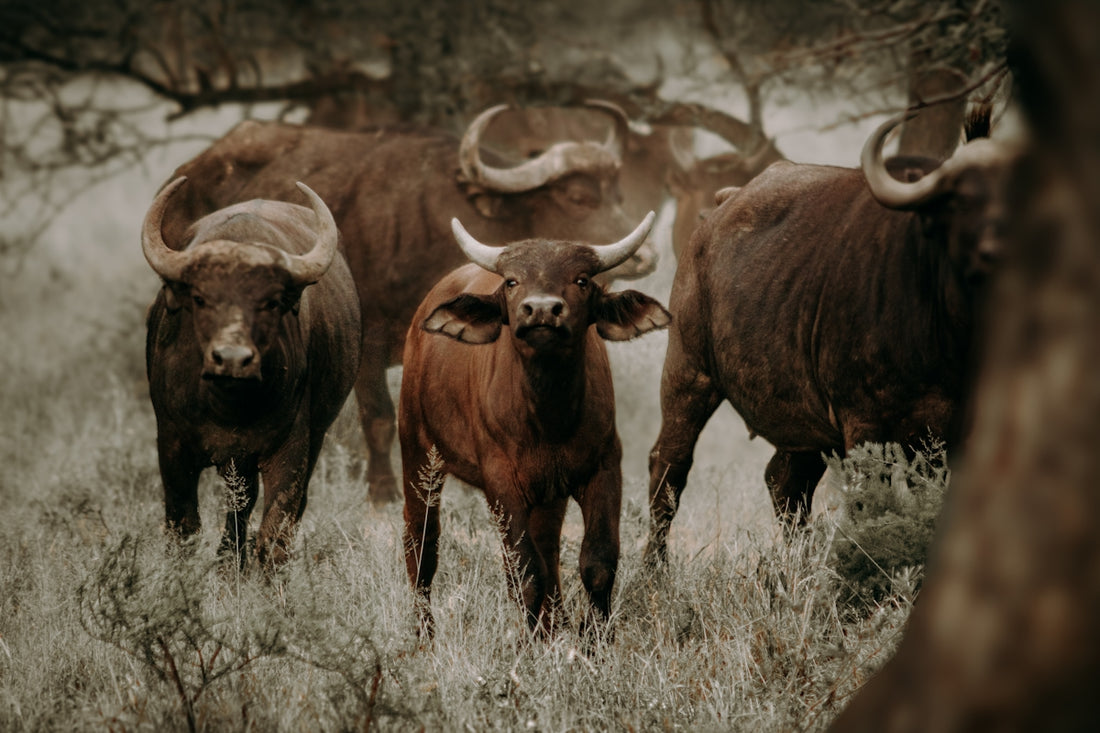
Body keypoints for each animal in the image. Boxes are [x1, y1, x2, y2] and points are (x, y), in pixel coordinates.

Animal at [143, 177, 361, 568]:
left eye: (270, 302)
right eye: (200, 298)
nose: (231, 358)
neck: (228, 407)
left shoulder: (291, 449)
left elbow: (275, 534)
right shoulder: (171, 444)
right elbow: (183, 527)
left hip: (313, 438)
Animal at [161, 101, 655, 506]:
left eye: (619, 194)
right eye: (577, 197)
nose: (646, 257)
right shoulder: (369, 346)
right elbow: (379, 418)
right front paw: (382, 494)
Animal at [398, 212, 670, 638]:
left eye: (581, 279)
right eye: (512, 281)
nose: (541, 310)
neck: (548, 417)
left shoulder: (604, 466)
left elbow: (597, 561)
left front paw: (593, 638)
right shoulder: (501, 483)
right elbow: (524, 572)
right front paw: (528, 644)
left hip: (547, 493)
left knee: (549, 546)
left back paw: (554, 624)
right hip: (417, 454)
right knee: (422, 541)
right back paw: (425, 632)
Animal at [643, 107, 1015, 566]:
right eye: (960, 200)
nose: (999, 252)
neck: (950, 337)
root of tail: (716, 212)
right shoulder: (867, 430)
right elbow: (871, 511)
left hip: (801, 421)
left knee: (784, 481)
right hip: (688, 372)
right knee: (669, 467)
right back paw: (654, 567)